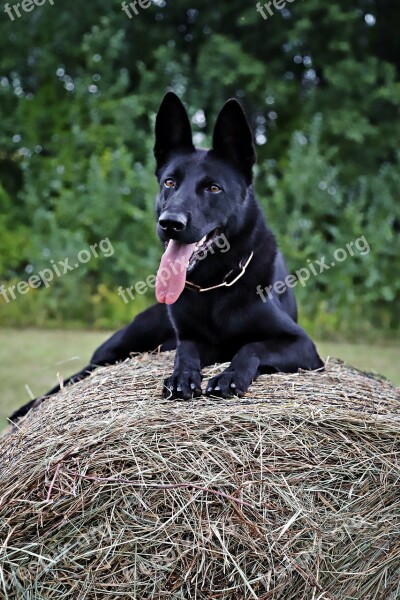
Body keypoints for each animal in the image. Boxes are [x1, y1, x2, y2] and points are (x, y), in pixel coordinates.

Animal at [9, 94, 324, 422]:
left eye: (213, 188)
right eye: (170, 183)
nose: (170, 223)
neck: (214, 286)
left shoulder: (302, 345)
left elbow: (251, 347)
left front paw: (229, 376)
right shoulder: (193, 339)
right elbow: (184, 352)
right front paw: (182, 376)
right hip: (121, 344)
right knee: (79, 375)